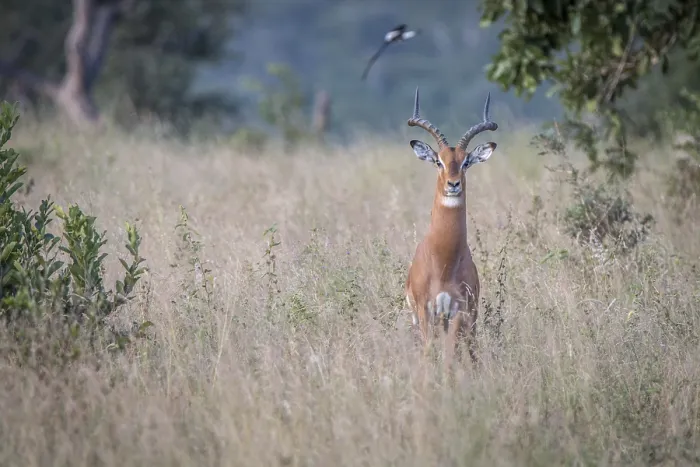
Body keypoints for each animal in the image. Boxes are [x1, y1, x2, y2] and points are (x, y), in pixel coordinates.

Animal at [404, 87, 498, 371]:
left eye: (466, 162)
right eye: (438, 161)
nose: (453, 184)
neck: (444, 261)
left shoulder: (457, 312)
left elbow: (448, 357)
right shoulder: (425, 311)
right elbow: (428, 354)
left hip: (468, 321)